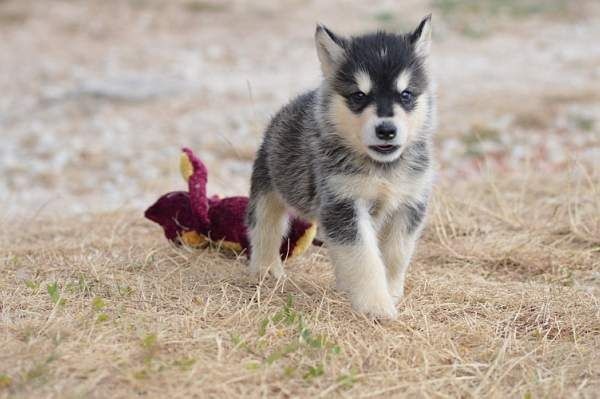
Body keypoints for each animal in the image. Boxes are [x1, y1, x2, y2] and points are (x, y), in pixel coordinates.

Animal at [246, 17, 434, 320]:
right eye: (358, 95)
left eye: (406, 95)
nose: (386, 130)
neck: (381, 169)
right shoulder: (343, 205)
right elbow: (364, 258)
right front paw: (376, 305)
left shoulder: (409, 204)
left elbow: (395, 254)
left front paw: (392, 292)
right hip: (268, 187)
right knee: (265, 227)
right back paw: (266, 270)